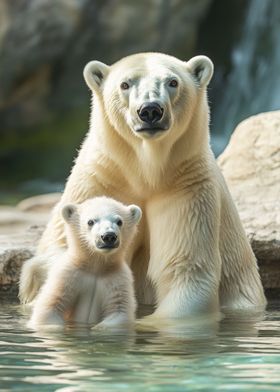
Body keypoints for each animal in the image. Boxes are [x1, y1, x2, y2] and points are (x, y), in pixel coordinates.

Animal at [29, 198, 141, 330]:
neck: (95, 267)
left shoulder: (117, 278)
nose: (108, 236)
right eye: (90, 221)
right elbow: (50, 308)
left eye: (119, 221)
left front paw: (97, 328)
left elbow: (119, 311)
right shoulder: (68, 274)